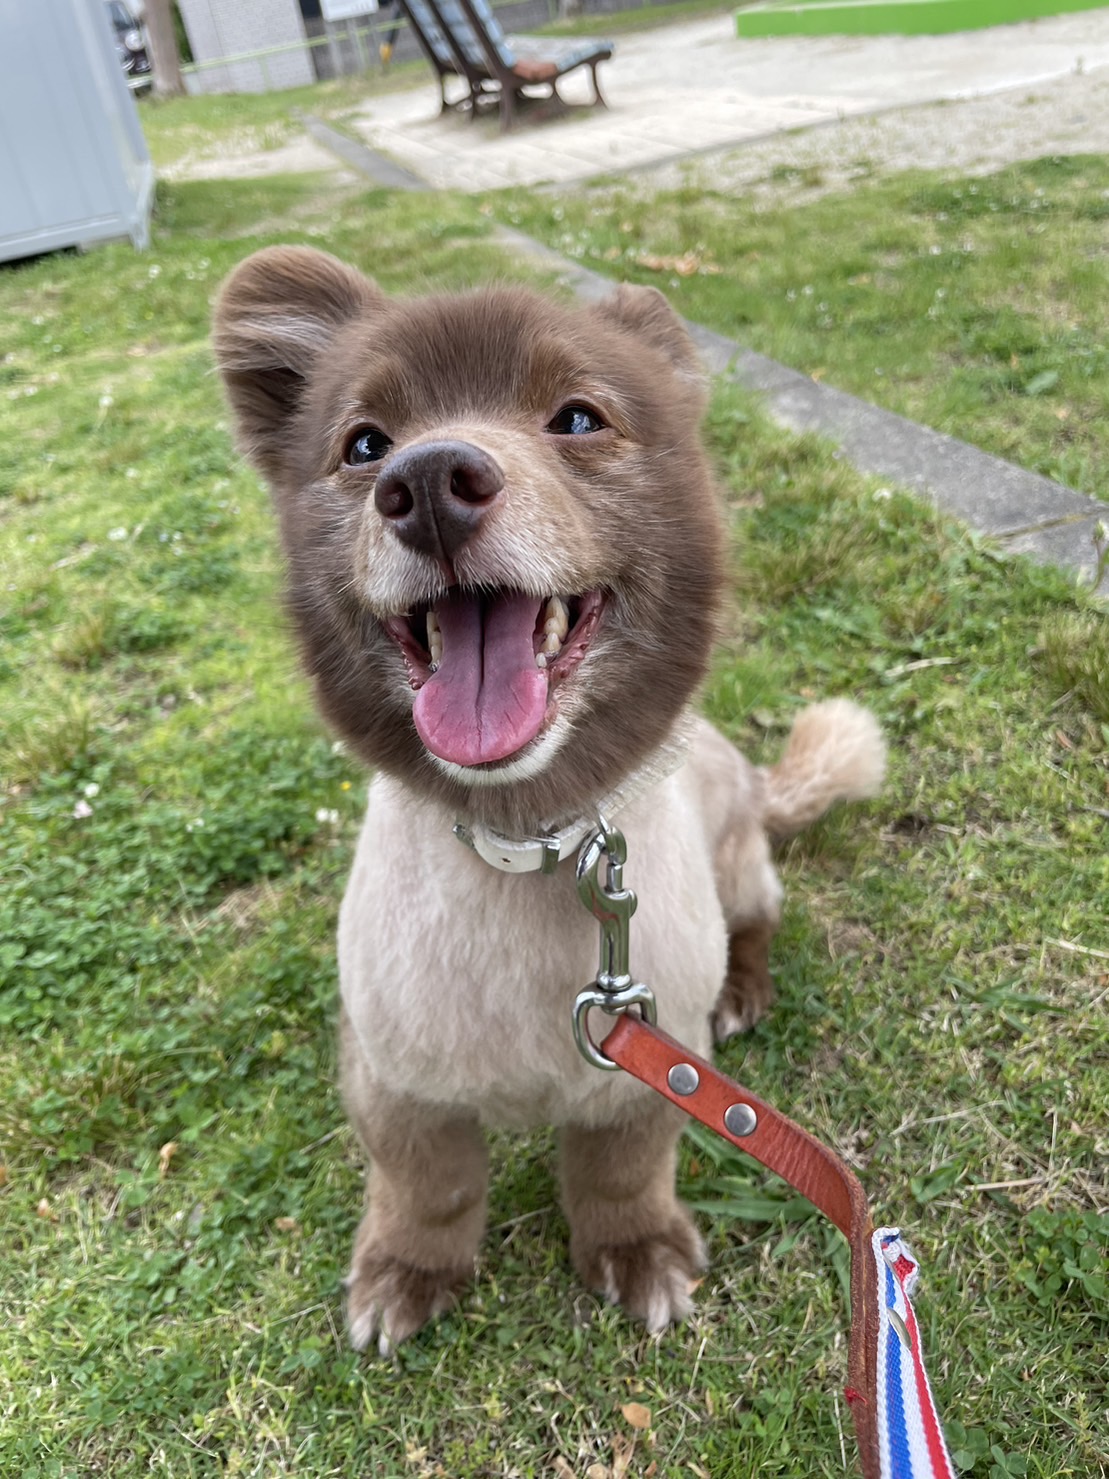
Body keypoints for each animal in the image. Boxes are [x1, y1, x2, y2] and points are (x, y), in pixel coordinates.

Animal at [213, 247, 885, 1355]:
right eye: (363, 443)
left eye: (576, 418)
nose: (426, 484)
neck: (526, 837)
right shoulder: (391, 1070)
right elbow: (425, 1184)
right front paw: (407, 1271)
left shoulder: (654, 1056)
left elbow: (620, 1172)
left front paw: (636, 1251)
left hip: (738, 862)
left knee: (759, 920)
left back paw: (745, 989)